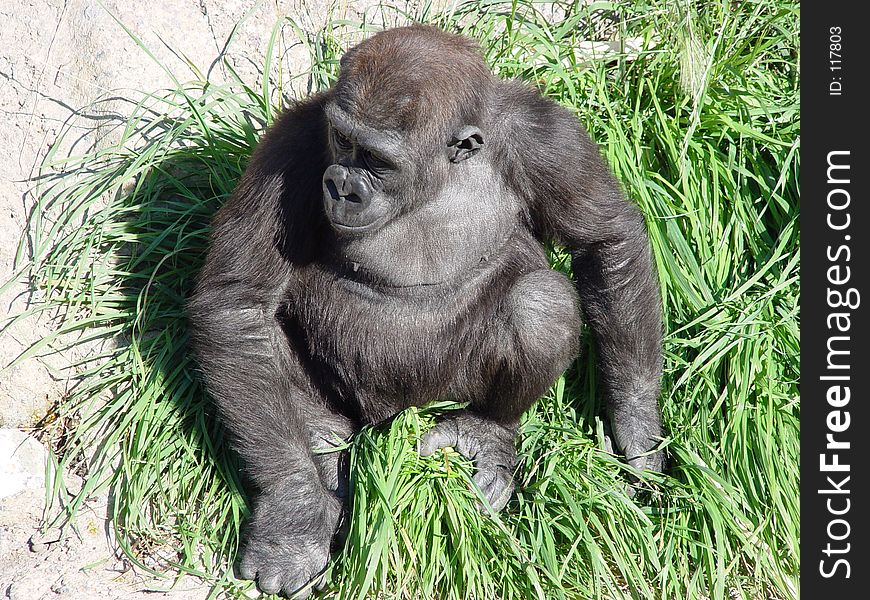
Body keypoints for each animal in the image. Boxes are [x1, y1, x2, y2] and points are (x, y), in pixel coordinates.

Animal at [191, 24, 664, 600]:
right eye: (342, 140)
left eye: (377, 159)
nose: (341, 185)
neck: (444, 167)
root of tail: (389, 419)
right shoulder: (294, 142)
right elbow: (238, 302)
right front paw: (293, 514)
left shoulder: (549, 138)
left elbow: (604, 241)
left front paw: (638, 426)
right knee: (263, 333)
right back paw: (322, 443)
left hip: (445, 395)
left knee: (540, 303)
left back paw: (487, 431)